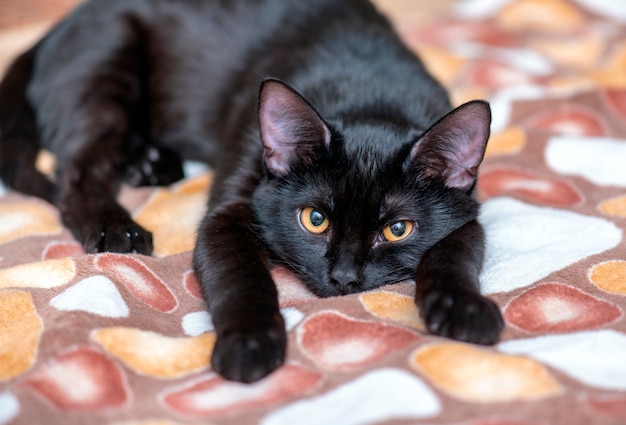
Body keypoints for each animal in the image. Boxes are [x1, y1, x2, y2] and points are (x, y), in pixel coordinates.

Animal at [0, 0, 502, 380]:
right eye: (314, 220)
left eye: (398, 229)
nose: (344, 279)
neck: (370, 96)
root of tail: (67, 20)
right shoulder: (230, 206)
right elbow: (241, 275)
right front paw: (249, 341)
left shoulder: (466, 215)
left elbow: (453, 255)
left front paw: (464, 308)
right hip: (106, 69)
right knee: (77, 172)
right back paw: (115, 226)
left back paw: (152, 162)